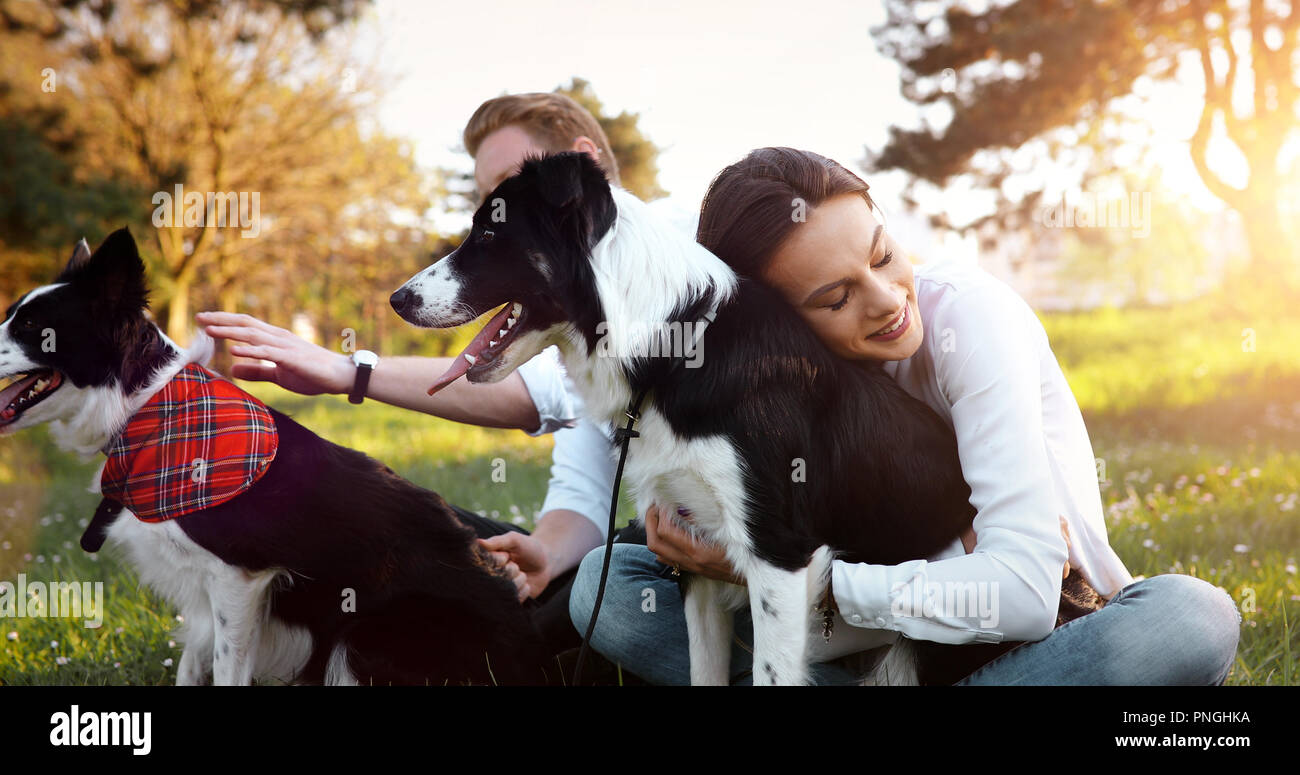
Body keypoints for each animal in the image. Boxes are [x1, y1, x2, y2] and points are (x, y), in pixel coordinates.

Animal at [0, 230, 551, 686]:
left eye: (30, 326)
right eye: (14, 315)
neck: (146, 408)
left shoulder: (239, 577)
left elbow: (226, 669)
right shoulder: (207, 594)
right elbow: (191, 664)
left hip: (362, 640)